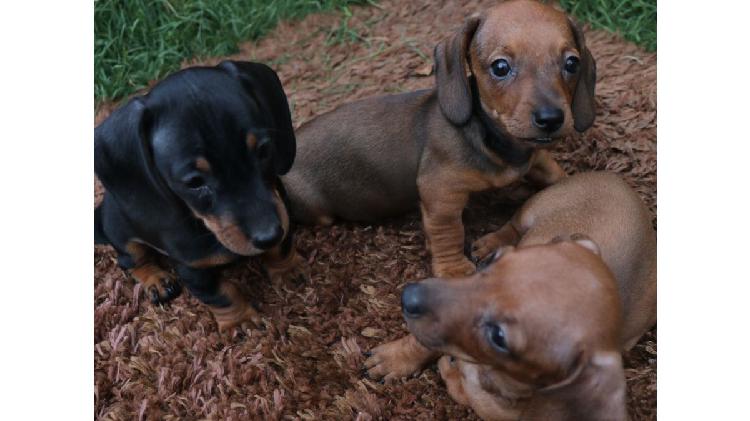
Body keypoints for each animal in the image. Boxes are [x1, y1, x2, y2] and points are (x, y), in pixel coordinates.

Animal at [96, 60, 308, 332]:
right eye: (194, 182)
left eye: (263, 150)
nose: (269, 235)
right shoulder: (193, 268)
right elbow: (220, 293)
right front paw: (239, 321)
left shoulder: (281, 208)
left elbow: (281, 248)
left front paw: (287, 269)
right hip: (123, 237)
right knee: (131, 260)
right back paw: (156, 280)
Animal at [284, 0, 596, 278]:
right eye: (500, 67)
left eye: (572, 63)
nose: (551, 119)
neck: (495, 139)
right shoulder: (441, 191)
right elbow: (449, 232)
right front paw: (453, 269)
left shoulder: (537, 158)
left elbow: (554, 175)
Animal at [388, 172, 656, 418]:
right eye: (493, 263)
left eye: (499, 337)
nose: (409, 294)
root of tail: (617, 179)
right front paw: (393, 359)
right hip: (536, 207)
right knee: (514, 224)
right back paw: (489, 242)